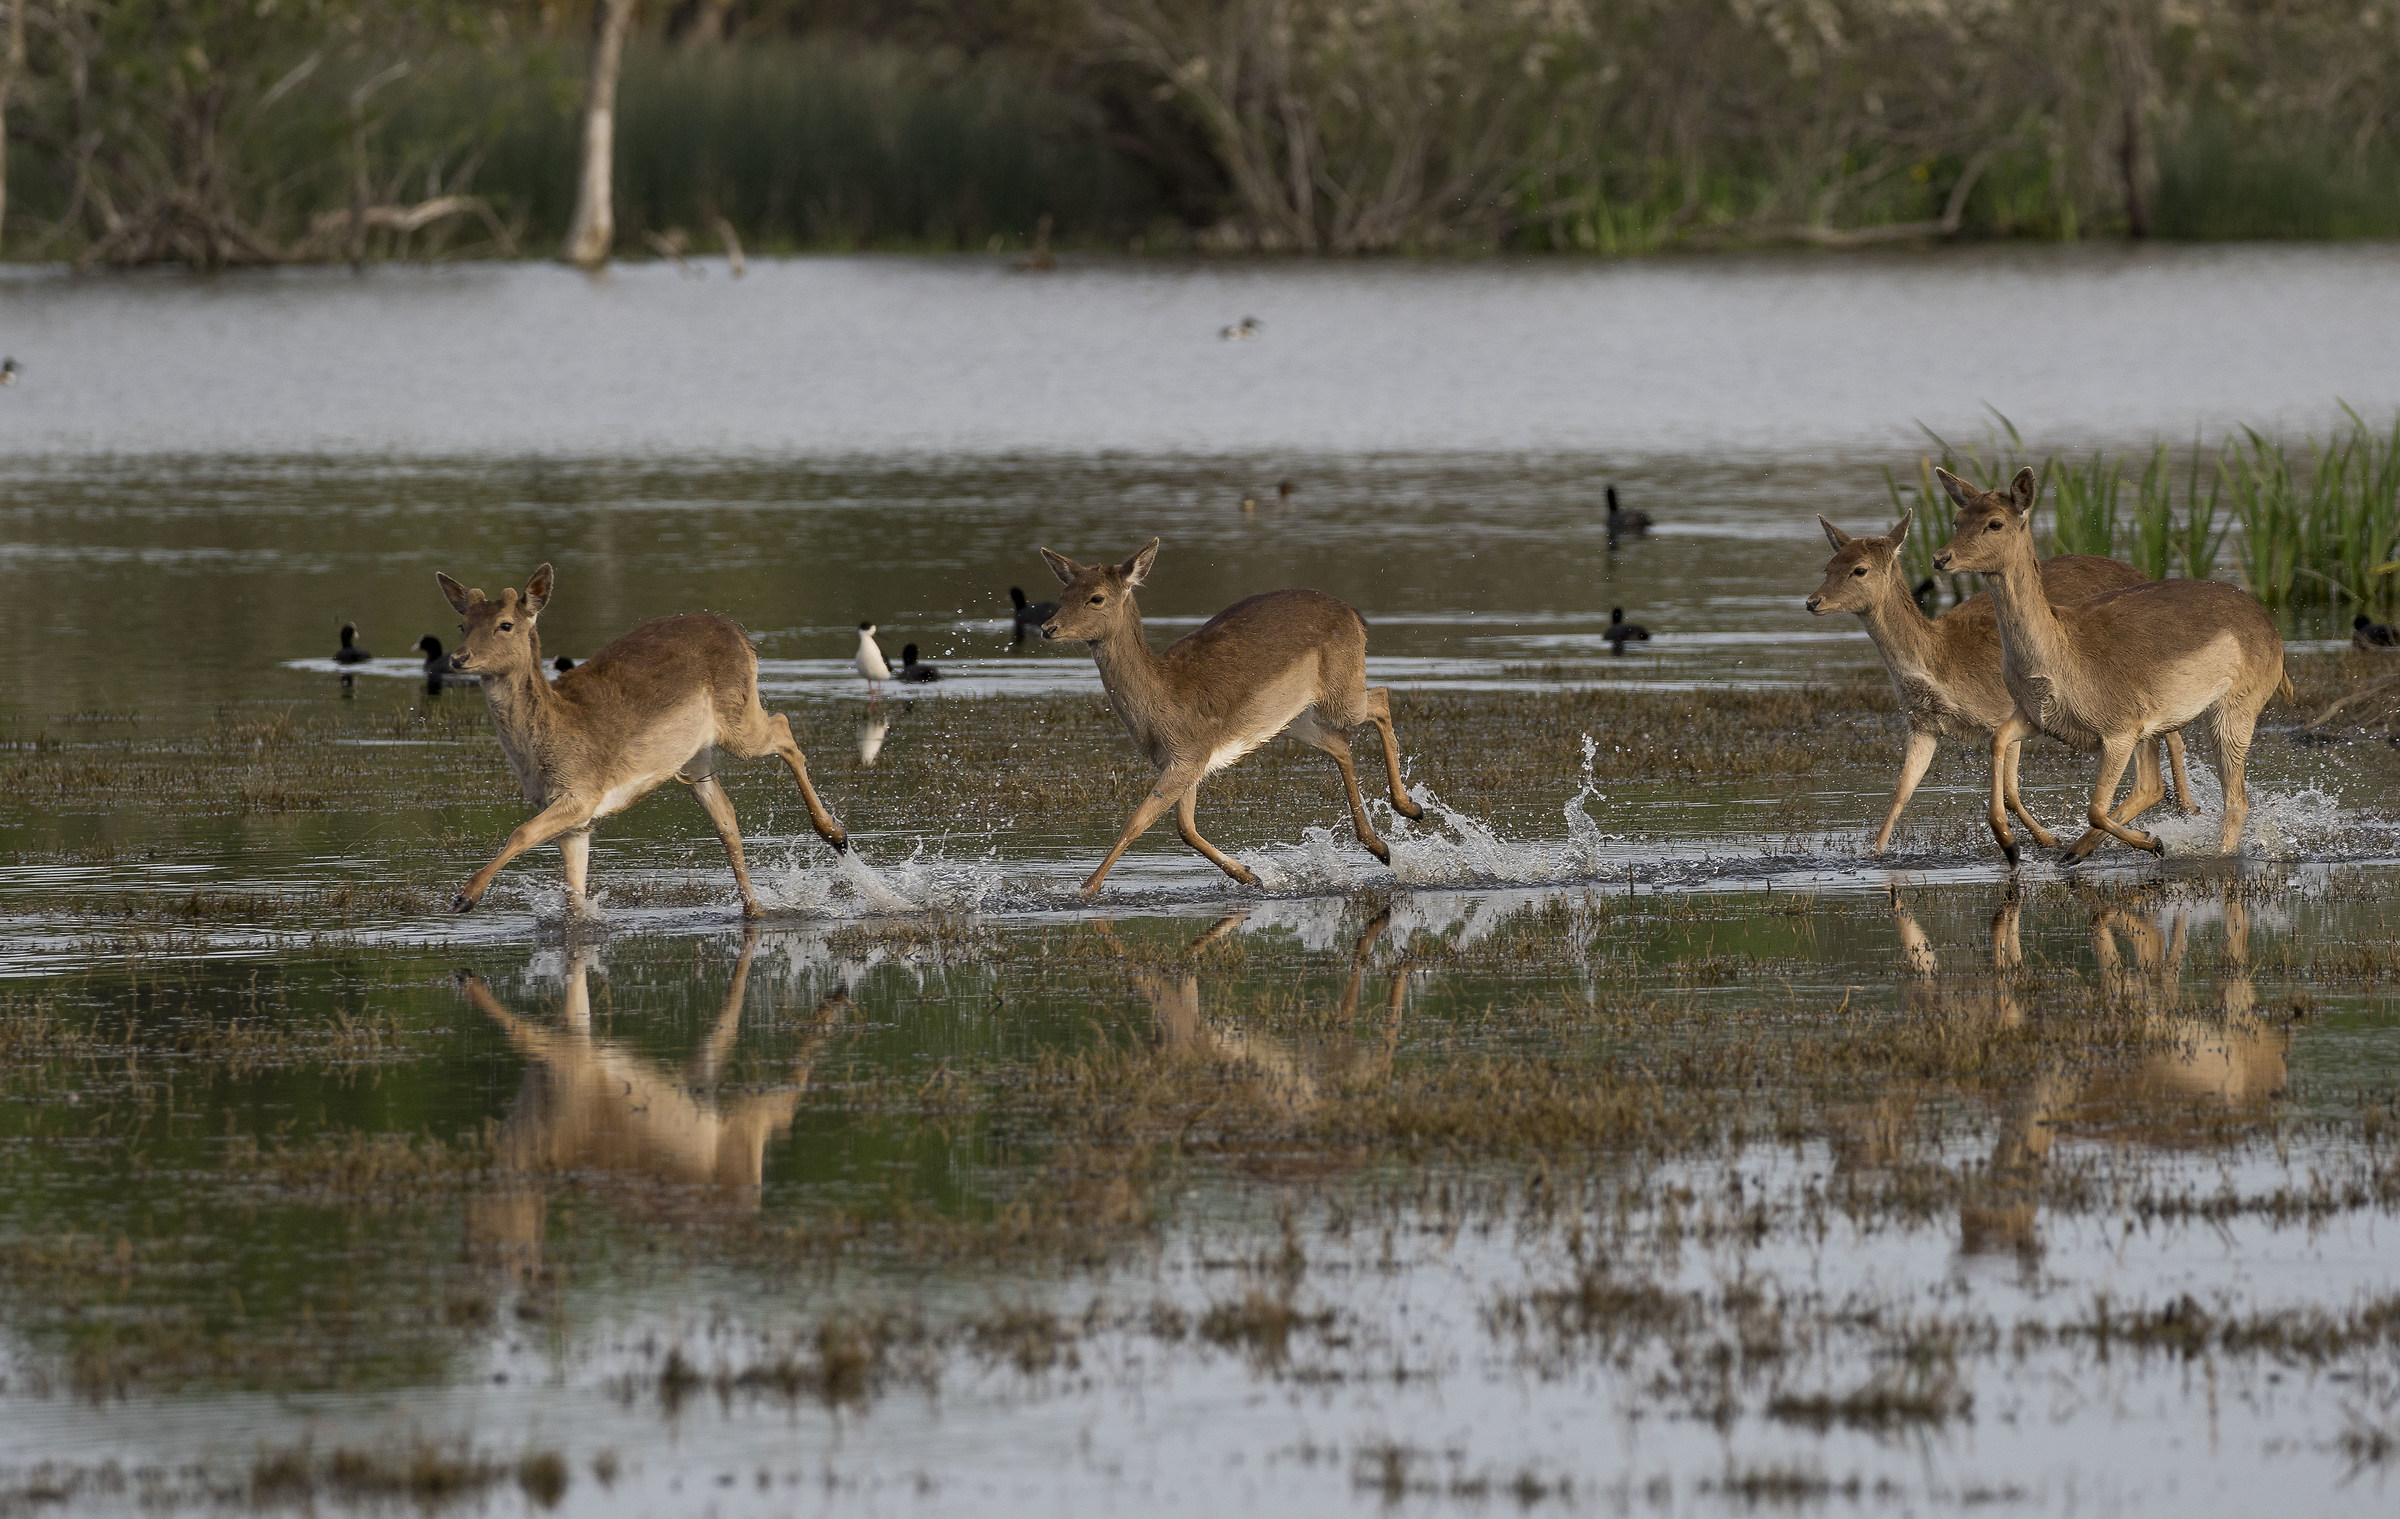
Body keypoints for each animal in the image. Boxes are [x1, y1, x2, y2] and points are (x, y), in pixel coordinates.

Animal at [435, 563, 848, 918]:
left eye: (505, 624)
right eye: (462, 624)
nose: (458, 658)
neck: (544, 751)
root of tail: (740, 633)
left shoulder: (582, 793)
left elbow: (521, 832)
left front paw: (465, 897)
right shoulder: (575, 823)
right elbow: (573, 894)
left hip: (738, 720)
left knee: (783, 728)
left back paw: (836, 835)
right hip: (692, 756)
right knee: (726, 816)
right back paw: (756, 905)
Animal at [1035, 538, 1422, 896]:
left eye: (1096, 597)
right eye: (1064, 592)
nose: (1048, 628)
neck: (1161, 704)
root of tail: (1356, 616)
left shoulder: (1188, 755)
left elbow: (1137, 821)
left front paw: (1085, 890)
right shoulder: (1183, 761)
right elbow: (1185, 828)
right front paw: (1251, 875)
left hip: (1341, 694)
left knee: (1380, 699)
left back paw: (1410, 809)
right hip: (1294, 720)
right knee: (1342, 744)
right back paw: (1381, 846)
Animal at [1807, 510, 2196, 853]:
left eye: (1860, 569)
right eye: (1828, 566)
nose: (1813, 601)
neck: (1943, 663)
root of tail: (2139, 572)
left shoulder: (2004, 709)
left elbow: (2009, 791)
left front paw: (2047, 840)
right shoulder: (1922, 724)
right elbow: (1902, 788)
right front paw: (1874, 851)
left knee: (2173, 735)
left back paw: (2187, 810)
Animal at [1931, 468, 2291, 864]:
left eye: (1995, 522)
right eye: (1958, 519)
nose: (1940, 558)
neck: (2057, 651)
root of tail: (2269, 628)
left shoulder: (2118, 734)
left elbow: (2095, 808)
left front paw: (2154, 841)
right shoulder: (2035, 717)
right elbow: (1997, 741)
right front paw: (2011, 846)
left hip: (2231, 716)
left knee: (2234, 800)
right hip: (2157, 732)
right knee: (2153, 786)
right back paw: (2078, 850)